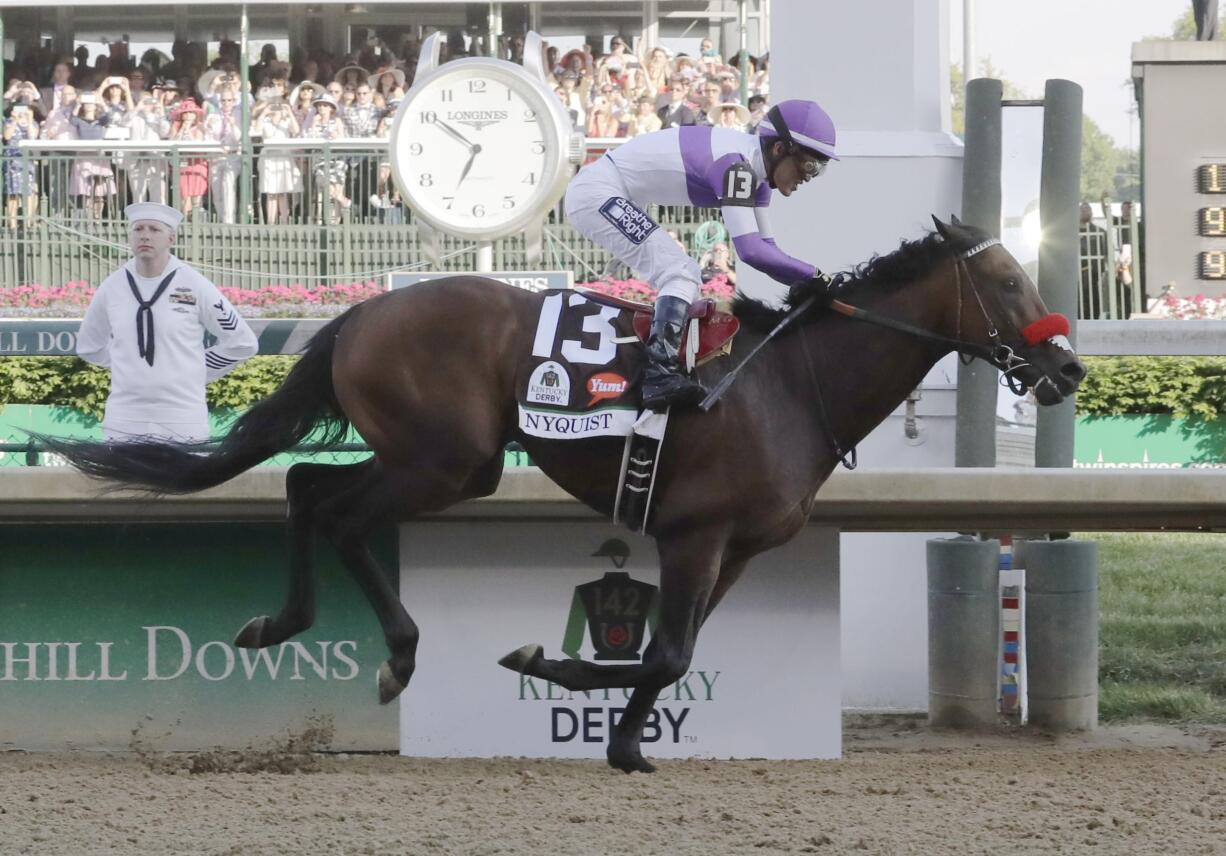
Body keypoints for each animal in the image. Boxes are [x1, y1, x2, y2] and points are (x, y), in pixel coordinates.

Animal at [45, 214, 1083, 775]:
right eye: (1004, 278)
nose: (1068, 367)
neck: (789, 386)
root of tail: (364, 312)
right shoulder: (694, 533)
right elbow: (667, 654)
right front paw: (595, 717)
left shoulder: (737, 548)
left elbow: (667, 656)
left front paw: (587, 704)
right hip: (444, 460)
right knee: (334, 511)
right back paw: (386, 652)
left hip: (441, 461)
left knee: (304, 484)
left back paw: (288, 623)